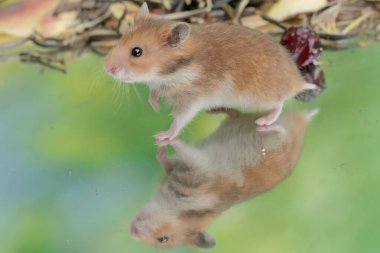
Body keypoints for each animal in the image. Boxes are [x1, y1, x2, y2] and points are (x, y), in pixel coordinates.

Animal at [105, 3, 316, 144]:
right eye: (121, 38)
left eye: (137, 52)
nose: (106, 68)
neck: (175, 70)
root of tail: (298, 81)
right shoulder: (160, 86)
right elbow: (154, 93)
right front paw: (155, 106)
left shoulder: (191, 102)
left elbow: (179, 121)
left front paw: (162, 136)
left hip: (261, 98)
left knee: (279, 104)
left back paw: (263, 121)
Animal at [129, 108, 320, 249]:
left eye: (163, 239)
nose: (132, 232)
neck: (176, 204)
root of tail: (305, 120)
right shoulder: (179, 170)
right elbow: (168, 161)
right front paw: (160, 149)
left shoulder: (197, 169)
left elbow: (182, 149)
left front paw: (162, 140)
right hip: (235, 122)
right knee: (237, 114)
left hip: (278, 136)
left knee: (278, 127)